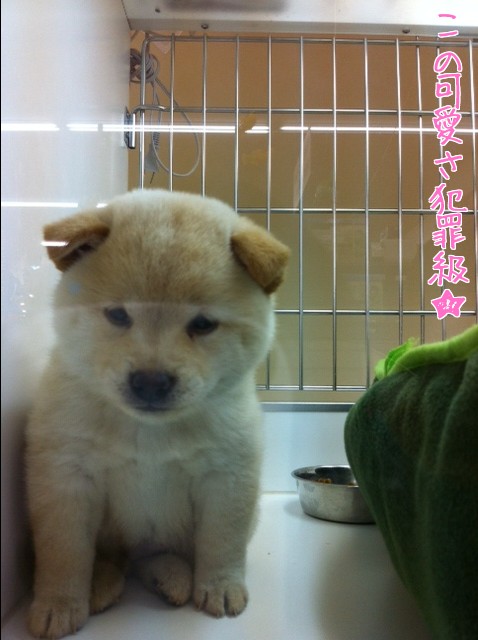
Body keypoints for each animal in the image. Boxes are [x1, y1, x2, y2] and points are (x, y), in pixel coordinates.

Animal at [25, 189, 289, 639]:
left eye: (203, 324)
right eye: (117, 315)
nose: (150, 382)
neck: (148, 434)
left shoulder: (227, 478)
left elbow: (222, 543)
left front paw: (220, 587)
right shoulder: (66, 480)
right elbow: (64, 554)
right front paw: (58, 604)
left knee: (153, 556)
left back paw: (172, 578)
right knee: (114, 558)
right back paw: (102, 585)